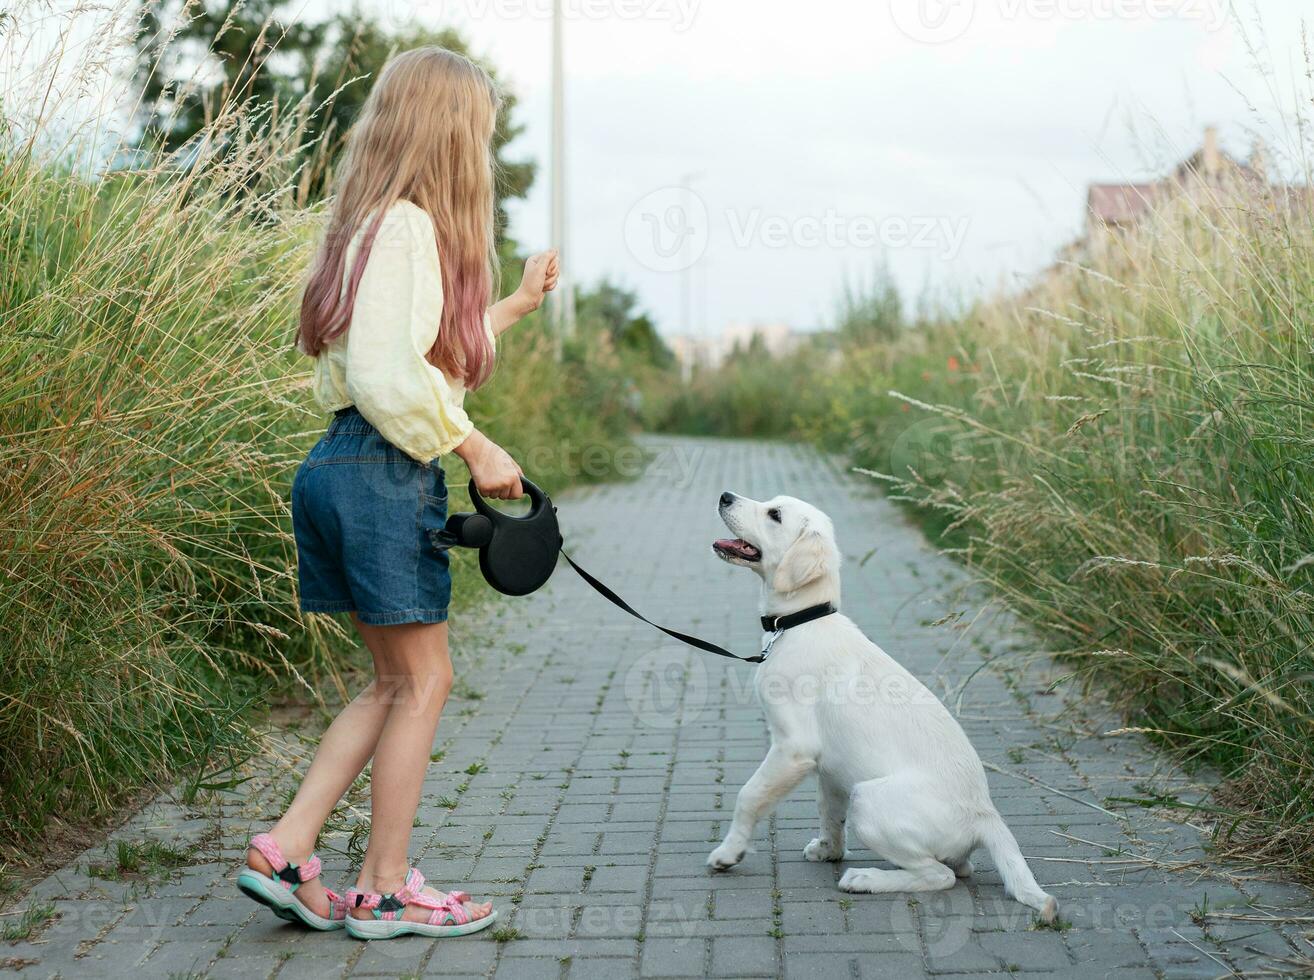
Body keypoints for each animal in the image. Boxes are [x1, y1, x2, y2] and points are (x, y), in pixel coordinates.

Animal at [709, 491, 1056, 919]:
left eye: (774, 514)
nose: (725, 496)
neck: (801, 622)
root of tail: (984, 815)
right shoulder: (829, 766)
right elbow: (828, 812)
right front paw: (828, 850)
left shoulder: (793, 748)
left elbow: (749, 796)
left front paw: (729, 852)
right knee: (961, 867)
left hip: (869, 800)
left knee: (940, 876)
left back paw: (866, 879)